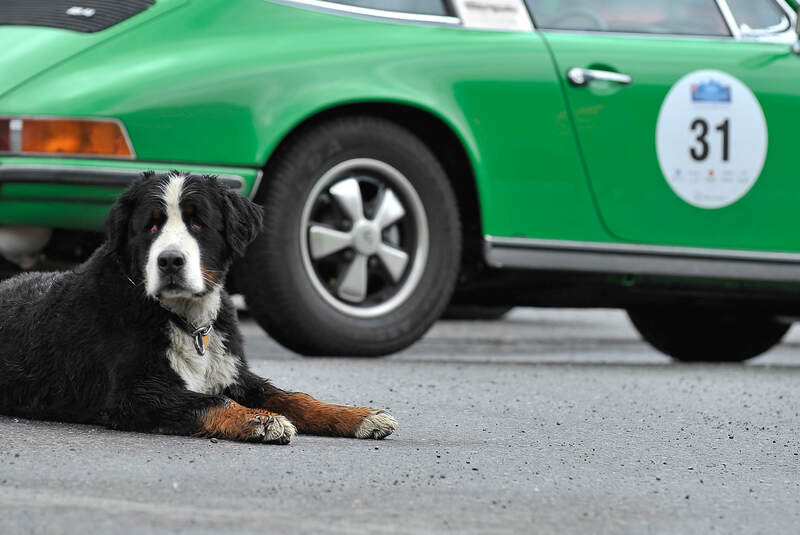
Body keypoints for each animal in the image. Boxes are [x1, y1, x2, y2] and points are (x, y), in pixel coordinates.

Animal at [0, 172, 398, 444]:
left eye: (197, 223)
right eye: (151, 226)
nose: (170, 261)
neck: (185, 320)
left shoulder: (235, 374)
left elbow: (296, 398)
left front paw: (361, 416)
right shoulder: (138, 392)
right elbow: (211, 402)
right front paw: (261, 421)